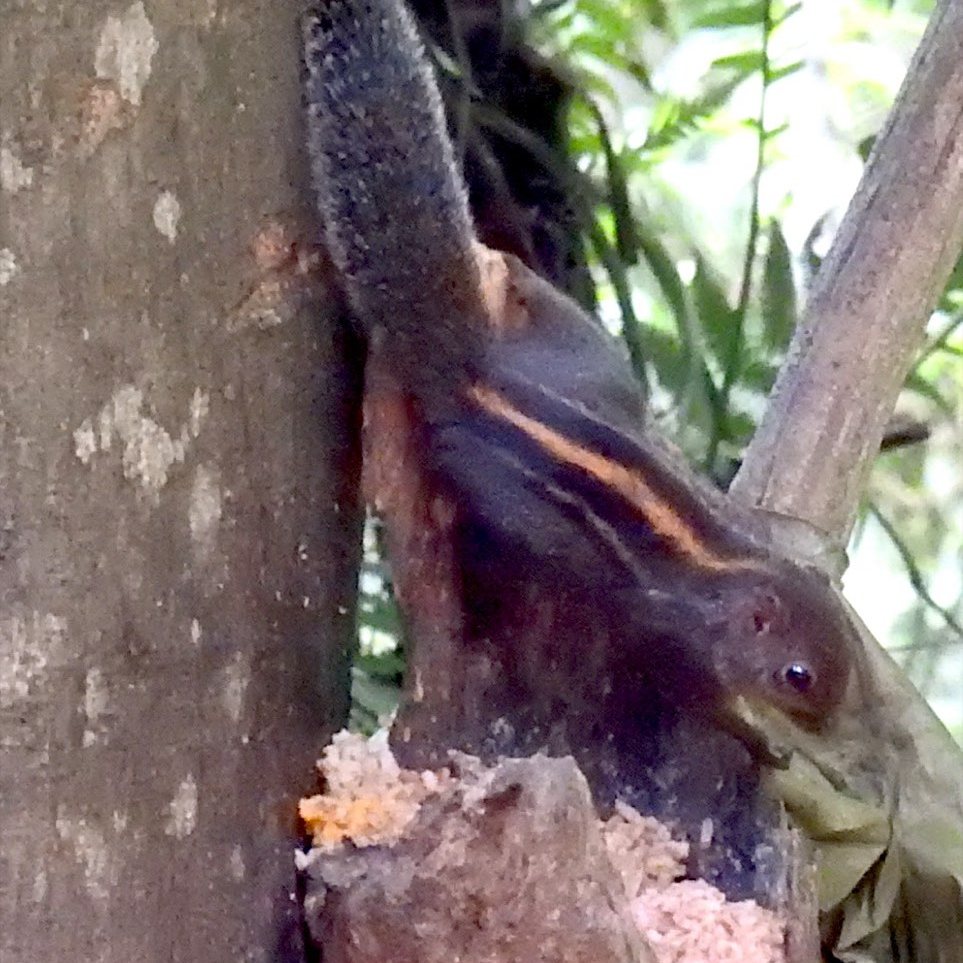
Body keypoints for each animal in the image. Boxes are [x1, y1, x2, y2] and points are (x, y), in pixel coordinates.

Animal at [302, 0, 857, 753]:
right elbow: (685, 685)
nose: (824, 731)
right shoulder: (666, 629)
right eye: (797, 675)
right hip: (500, 498)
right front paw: (752, 737)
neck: (724, 567)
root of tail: (479, 369)